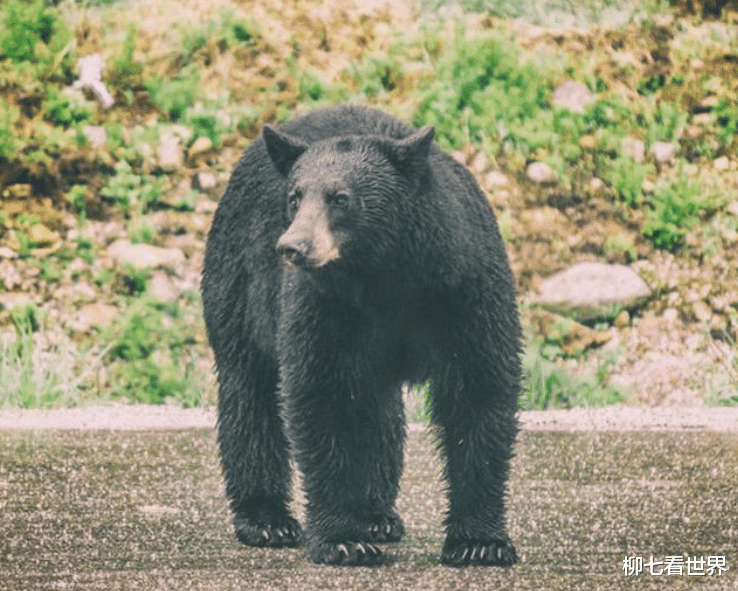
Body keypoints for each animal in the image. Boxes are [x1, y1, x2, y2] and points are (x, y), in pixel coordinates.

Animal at [201, 104, 520, 568]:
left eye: (340, 198)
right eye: (295, 196)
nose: (292, 247)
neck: (383, 273)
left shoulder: (466, 287)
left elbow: (479, 390)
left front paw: (480, 542)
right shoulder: (321, 307)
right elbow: (320, 396)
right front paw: (342, 540)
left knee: (378, 415)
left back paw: (375, 514)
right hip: (238, 283)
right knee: (249, 393)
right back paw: (266, 519)